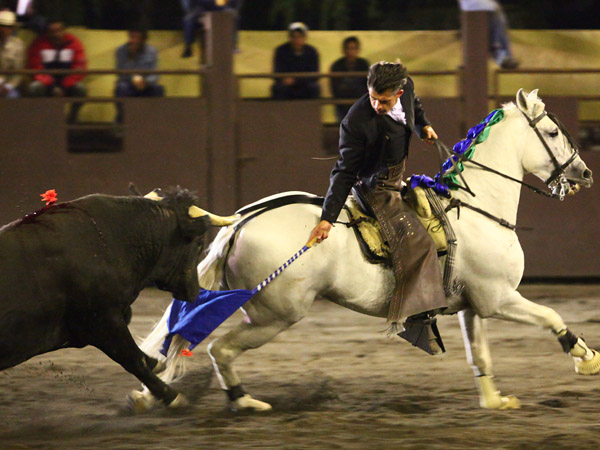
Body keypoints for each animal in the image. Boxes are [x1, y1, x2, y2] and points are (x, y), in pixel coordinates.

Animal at [0, 188, 214, 406]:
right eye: (199, 245)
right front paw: (171, 396)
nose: (195, 291)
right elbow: (132, 359)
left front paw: (156, 363)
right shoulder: (102, 322)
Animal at [134, 89, 596, 414]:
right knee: (220, 349)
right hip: (276, 314)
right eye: (552, 133)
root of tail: (241, 222)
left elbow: (479, 353)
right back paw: (244, 400)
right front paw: (586, 357)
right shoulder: (499, 297)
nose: (584, 172)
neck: (475, 205)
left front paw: (495, 400)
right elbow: (551, 316)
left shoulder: (473, 305)